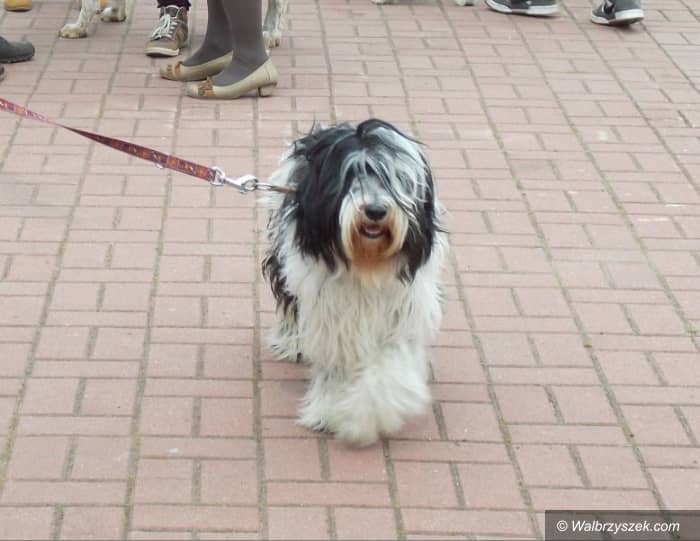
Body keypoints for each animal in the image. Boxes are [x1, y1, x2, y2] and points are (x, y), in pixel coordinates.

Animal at [262, 119, 447, 446]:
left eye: (394, 179)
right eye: (350, 176)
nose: (375, 211)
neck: (367, 265)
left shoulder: (402, 310)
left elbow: (388, 366)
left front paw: (366, 415)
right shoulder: (331, 315)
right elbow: (336, 363)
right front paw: (329, 411)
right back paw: (292, 341)